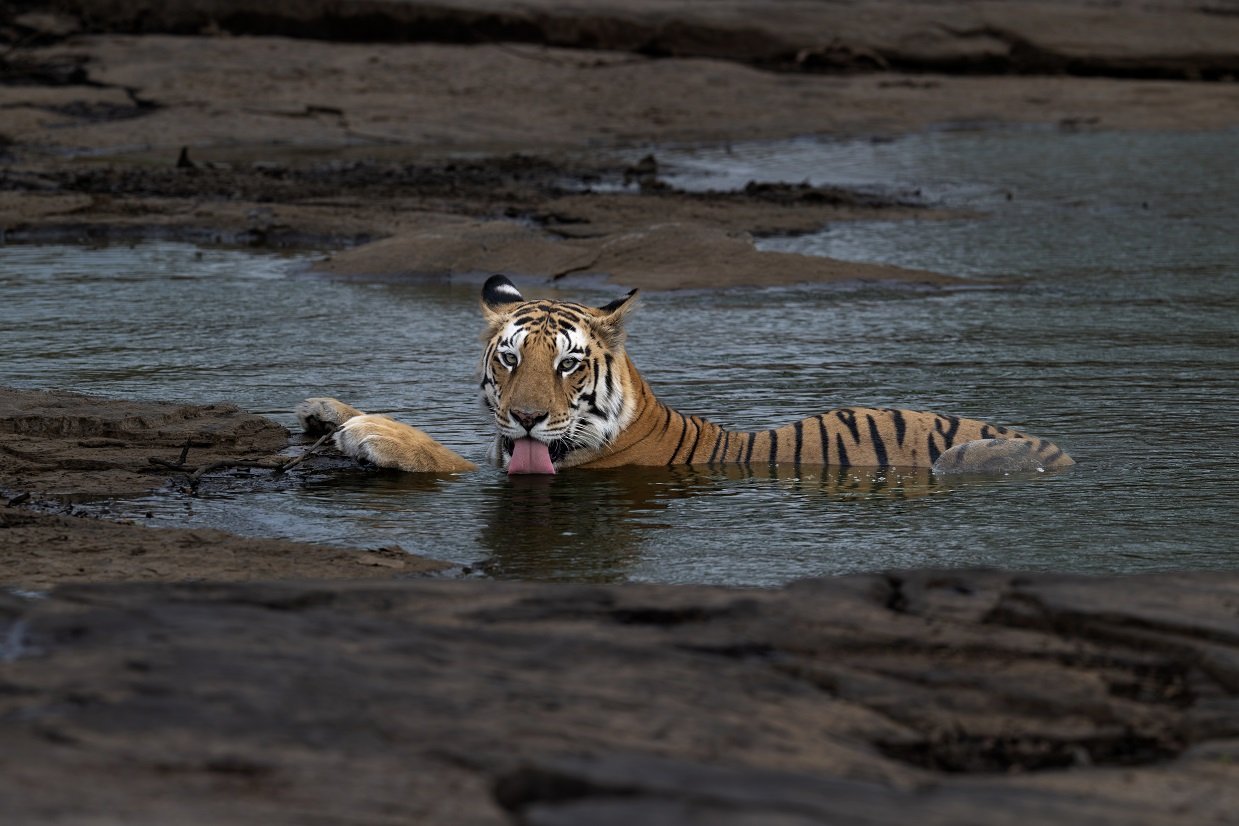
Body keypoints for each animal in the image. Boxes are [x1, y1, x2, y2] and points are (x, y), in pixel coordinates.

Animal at [296, 275, 1074, 476]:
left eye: (568, 362)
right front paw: (327, 407)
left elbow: (444, 458)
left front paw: (373, 435)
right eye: (510, 358)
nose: (525, 417)